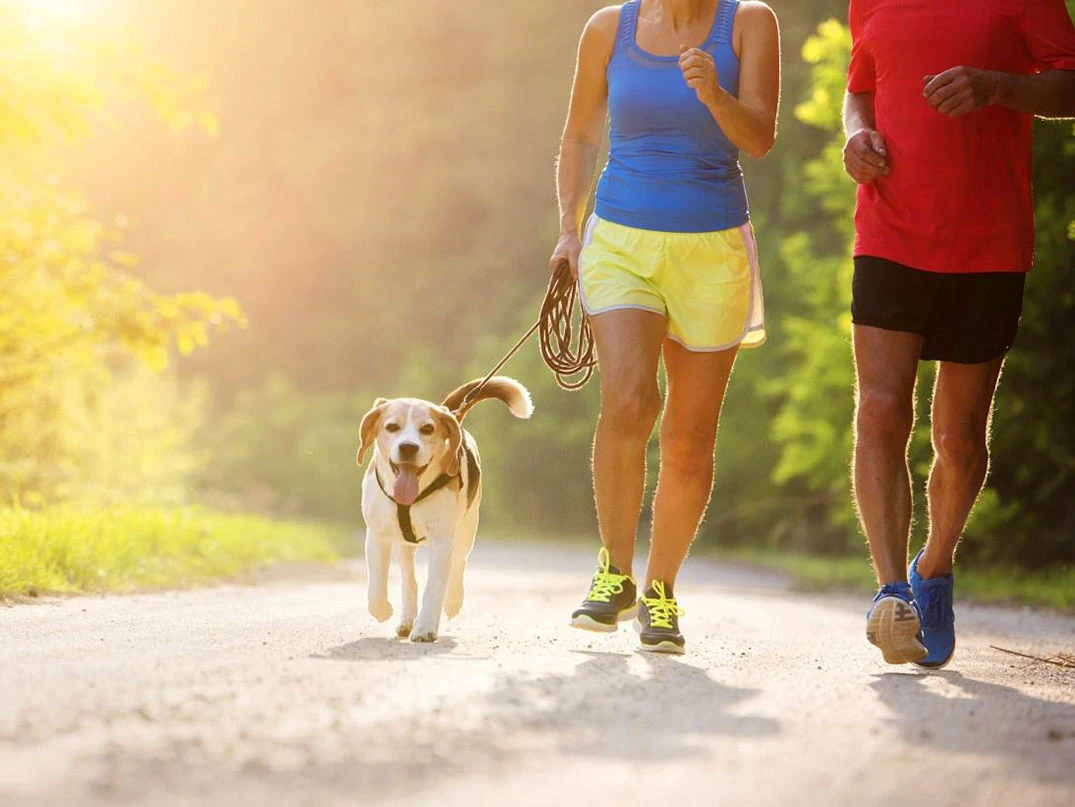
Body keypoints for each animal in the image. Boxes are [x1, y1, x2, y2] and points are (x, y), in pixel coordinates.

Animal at [356, 378, 533, 644]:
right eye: (392, 427)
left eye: (427, 429)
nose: (408, 448)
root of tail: (451, 412)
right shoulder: (377, 535)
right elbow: (376, 584)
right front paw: (382, 610)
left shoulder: (441, 541)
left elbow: (434, 586)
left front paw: (426, 628)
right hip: (403, 545)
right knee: (409, 579)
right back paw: (407, 619)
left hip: (466, 529)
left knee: (458, 564)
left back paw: (452, 601)